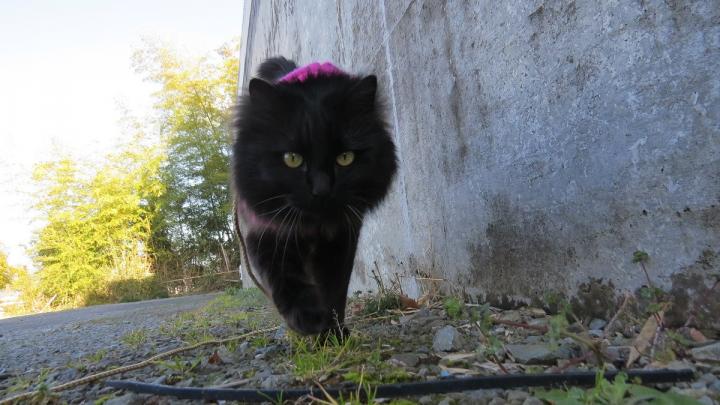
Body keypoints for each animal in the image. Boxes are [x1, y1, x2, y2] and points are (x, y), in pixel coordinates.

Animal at [232, 57, 397, 337]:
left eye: (345, 158)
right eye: (292, 159)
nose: (322, 189)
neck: (312, 227)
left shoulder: (341, 239)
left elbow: (334, 291)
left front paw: (332, 333)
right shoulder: (266, 234)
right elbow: (286, 282)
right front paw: (308, 321)